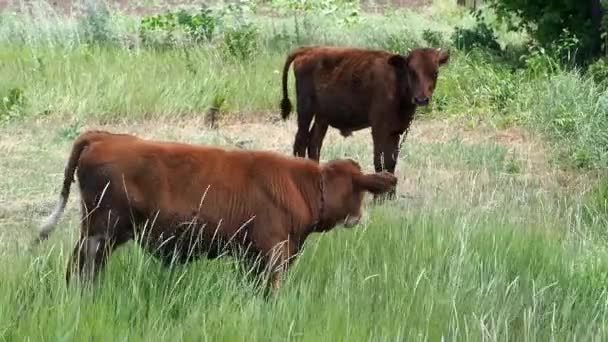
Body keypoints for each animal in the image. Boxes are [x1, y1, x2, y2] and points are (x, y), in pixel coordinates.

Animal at [35, 130, 396, 292]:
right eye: (359, 191)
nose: (358, 218)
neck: (300, 184)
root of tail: (105, 135)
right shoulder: (274, 252)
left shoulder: (252, 256)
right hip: (101, 231)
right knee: (83, 266)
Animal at [280, 45, 446, 198]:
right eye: (411, 71)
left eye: (435, 72)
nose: (421, 99)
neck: (396, 80)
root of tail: (309, 49)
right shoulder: (379, 128)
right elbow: (380, 160)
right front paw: (380, 197)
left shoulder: (396, 130)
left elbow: (391, 162)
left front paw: (391, 196)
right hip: (305, 111)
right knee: (301, 142)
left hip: (322, 118)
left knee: (314, 144)